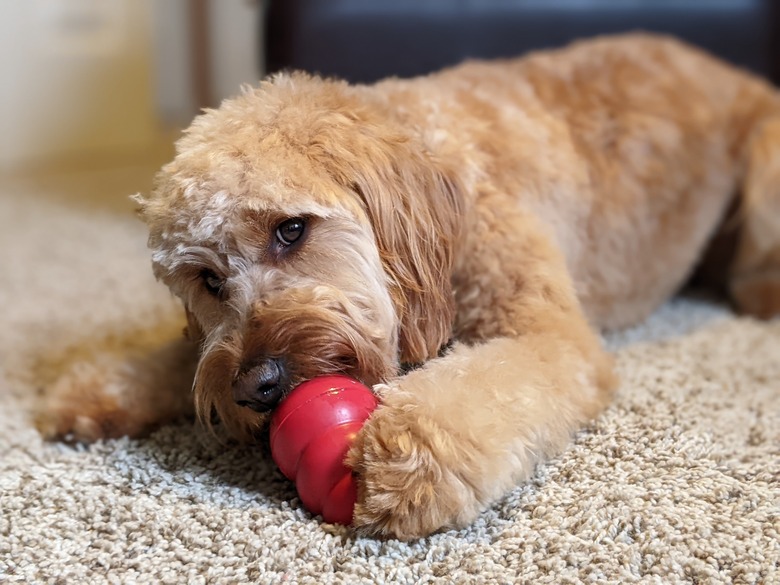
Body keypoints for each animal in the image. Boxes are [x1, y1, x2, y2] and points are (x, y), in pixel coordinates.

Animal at [36, 34, 780, 540]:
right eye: (207, 279)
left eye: (291, 229)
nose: (255, 386)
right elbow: (184, 357)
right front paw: (98, 388)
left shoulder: (543, 332)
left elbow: (482, 389)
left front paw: (406, 459)